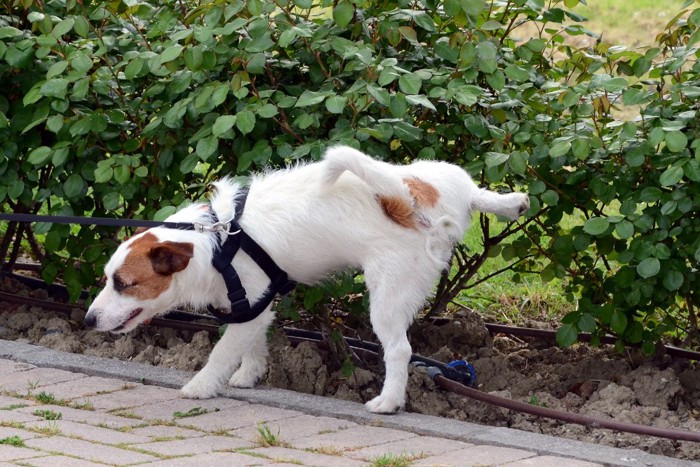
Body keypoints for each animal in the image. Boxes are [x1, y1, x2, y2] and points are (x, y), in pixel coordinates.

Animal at [85, 146, 528, 414]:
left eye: (124, 284)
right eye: (108, 279)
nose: (88, 320)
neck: (217, 238)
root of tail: (406, 197)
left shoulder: (246, 303)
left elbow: (222, 352)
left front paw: (201, 385)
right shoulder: (255, 307)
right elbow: (252, 345)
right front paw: (249, 375)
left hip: (387, 295)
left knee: (399, 350)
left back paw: (388, 401)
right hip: (441, 175)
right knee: (475, 191)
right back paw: (509, 202)